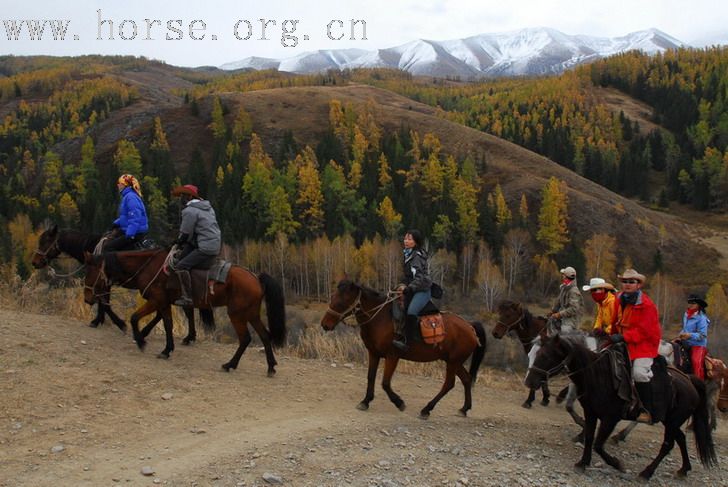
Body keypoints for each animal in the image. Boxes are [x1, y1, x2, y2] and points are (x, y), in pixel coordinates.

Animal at [86, 248, 288, 374]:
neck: (149, 267)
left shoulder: (156, 300)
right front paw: (167, 349)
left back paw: (230, 364)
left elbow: (136, 318)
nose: (87, 298)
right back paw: (271, 366)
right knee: (264, 335)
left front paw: (141, 341)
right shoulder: (164, 303)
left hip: (237, 314)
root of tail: (256, 277)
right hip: (251, 313)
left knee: (245, 338)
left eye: (90, 273)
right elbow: (167, 324)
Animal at [320, 282, 486, 420]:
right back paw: (464, 409)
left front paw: (399, 402)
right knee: (466, 379)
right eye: (332, 297)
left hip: (453, 362)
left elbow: (385, 383)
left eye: (341, 301)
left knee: (449, 384)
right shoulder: (373, 353)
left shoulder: (392, 356)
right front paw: (365, 401)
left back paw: (426, 409)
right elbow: (371, 377)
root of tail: (469, 326)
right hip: (454, 361)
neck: (380, 318)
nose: (325, 324)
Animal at [524, 336, 716, 480]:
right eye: (535, 353)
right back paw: (683, 469)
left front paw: (617, 464)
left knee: (667, 445)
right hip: (671, 421)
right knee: (681, 438)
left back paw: (646, 472)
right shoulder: (591, 413)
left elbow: (598, 444)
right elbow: (589, 437)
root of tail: (690, 380)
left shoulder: (610, 418)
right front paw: (583, 463)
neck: (597, 375)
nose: (529, 381)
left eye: (547, 356)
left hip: (672, 421)